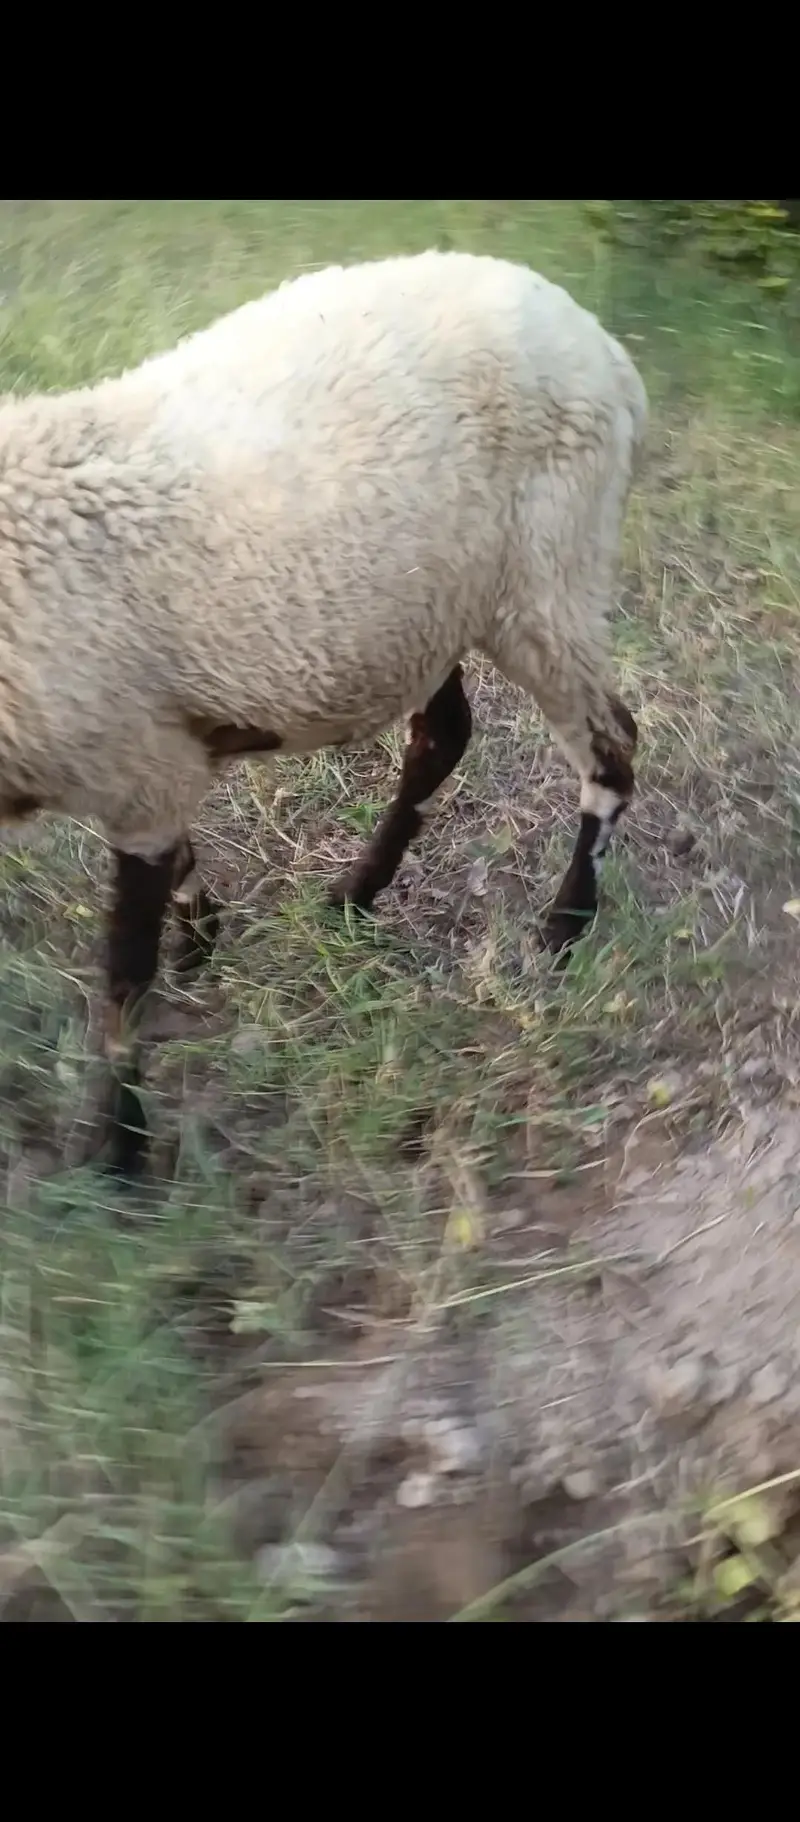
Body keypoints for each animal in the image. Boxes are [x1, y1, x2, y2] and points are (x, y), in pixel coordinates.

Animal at [0, 248, 647, 1177]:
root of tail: (600, 343)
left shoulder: (134, 765)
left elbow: (123, 980)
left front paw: (119, 1150)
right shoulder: (145, 750)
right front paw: (202, 935)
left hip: (548, 575)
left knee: (609, 747)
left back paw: (563, 927)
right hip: (425, 605)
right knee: (443, 734)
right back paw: (354, 895)